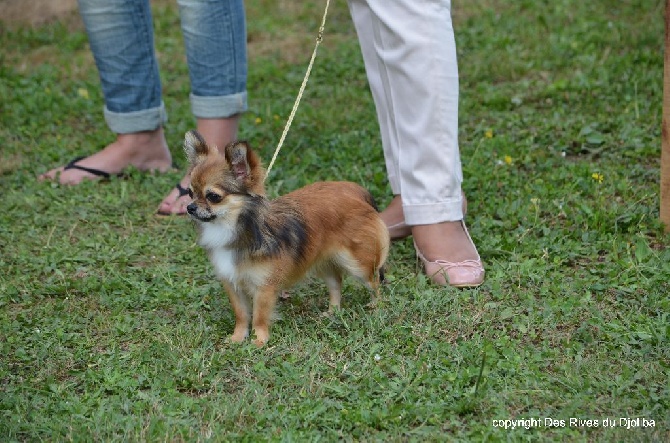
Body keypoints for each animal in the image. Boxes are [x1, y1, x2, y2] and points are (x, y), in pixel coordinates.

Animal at [185, 131, 394, 346]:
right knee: (336, 283)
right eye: (190, 192)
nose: (190, 207)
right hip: (323, 261)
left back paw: (375, 306)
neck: (234, 230)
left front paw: (259, 341)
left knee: (375, 283)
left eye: (213, 196)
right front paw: (238, 338)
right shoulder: (233, 284)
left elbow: (259, 316)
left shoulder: (264, 287)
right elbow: (242, 314)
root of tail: (355, 190)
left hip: (358, 265)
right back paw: (332, 312)